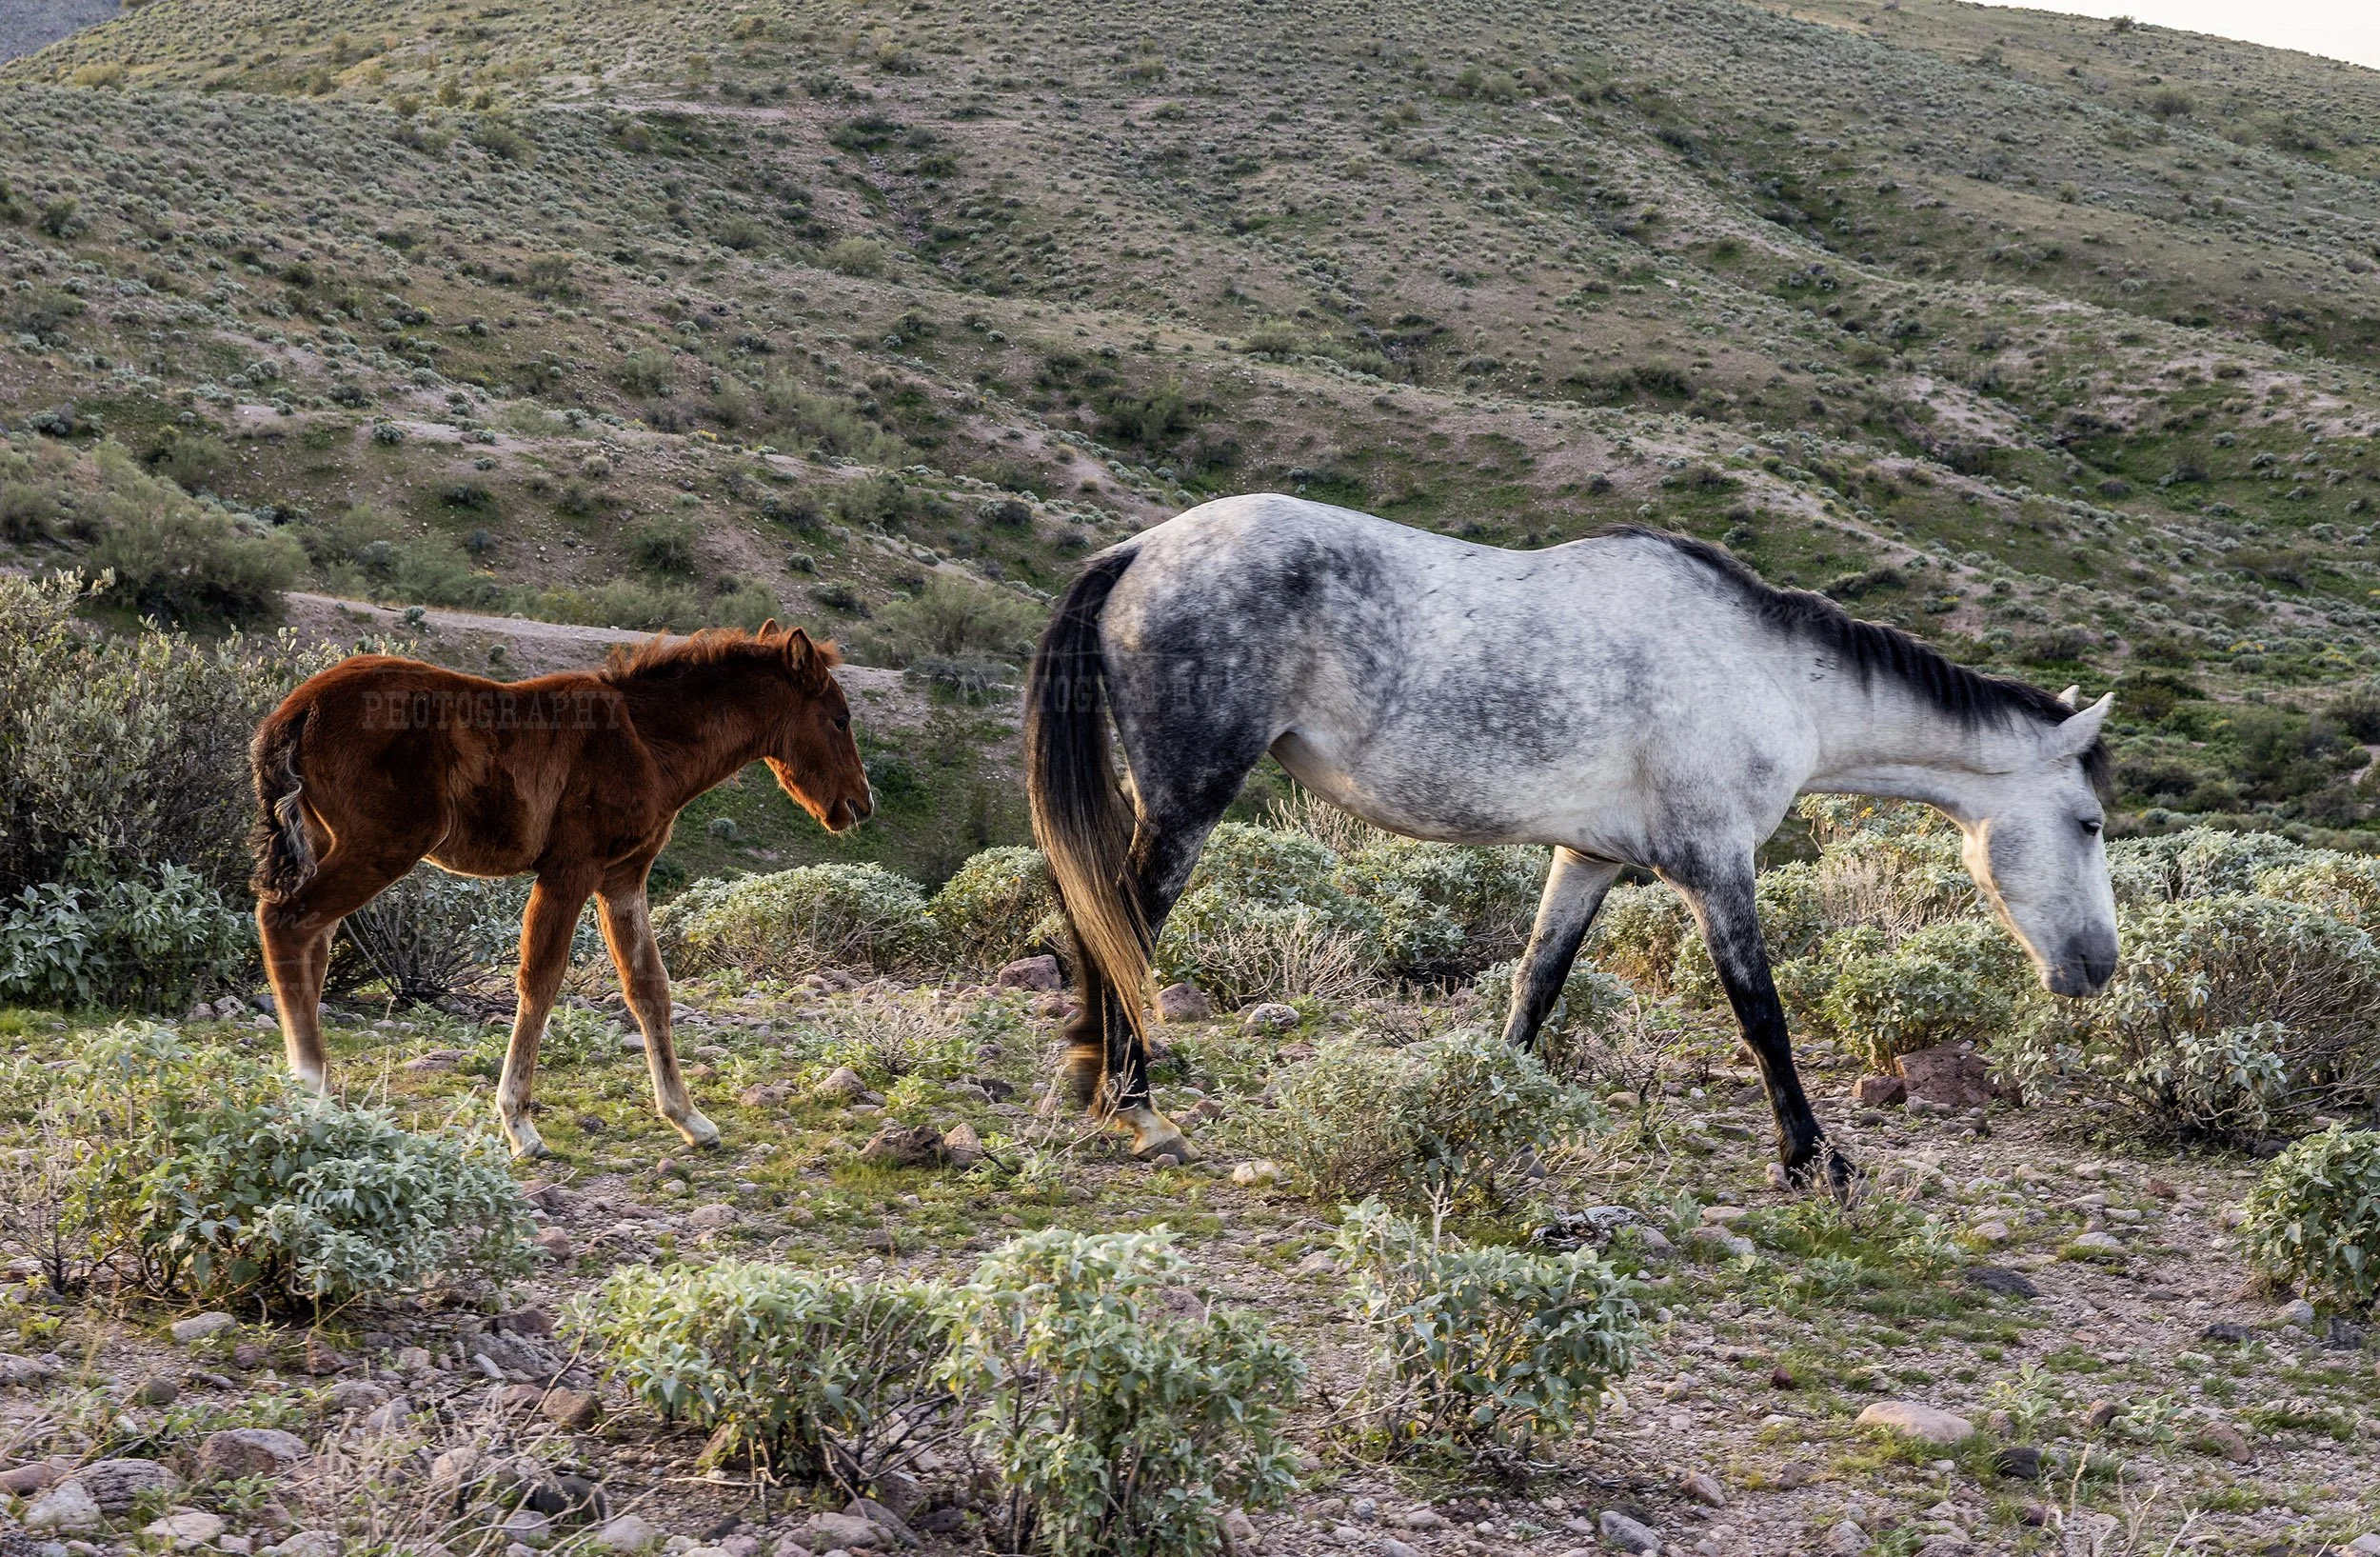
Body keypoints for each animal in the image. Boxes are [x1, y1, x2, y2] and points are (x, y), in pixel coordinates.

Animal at [248, 622, 872, 1159]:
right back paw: (312, 1091)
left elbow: (648, 986)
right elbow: (541, 980)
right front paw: (519, 1124)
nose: (859, 804)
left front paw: (688, 1117)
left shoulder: (623, 879)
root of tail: (297, 710)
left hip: (333, 844)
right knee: (285, 921)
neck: (644, 739)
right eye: (840, 719)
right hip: (382, 846)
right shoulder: (571, 869)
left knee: (311, 944)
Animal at [1025, 495, 2117, 1193]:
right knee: (1126, 924)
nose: (2098, 967)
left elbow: (1535, 985)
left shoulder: (1588, 859)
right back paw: (1136, 1107)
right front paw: (1815, 1160)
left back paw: (1089, 1078)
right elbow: (1762, 1015)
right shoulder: (1716, 866)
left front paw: (1482, 1109)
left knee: (1098, 914)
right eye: (2090, 822)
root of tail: (1140, 551)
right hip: (1190, 797)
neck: (1767, 674)